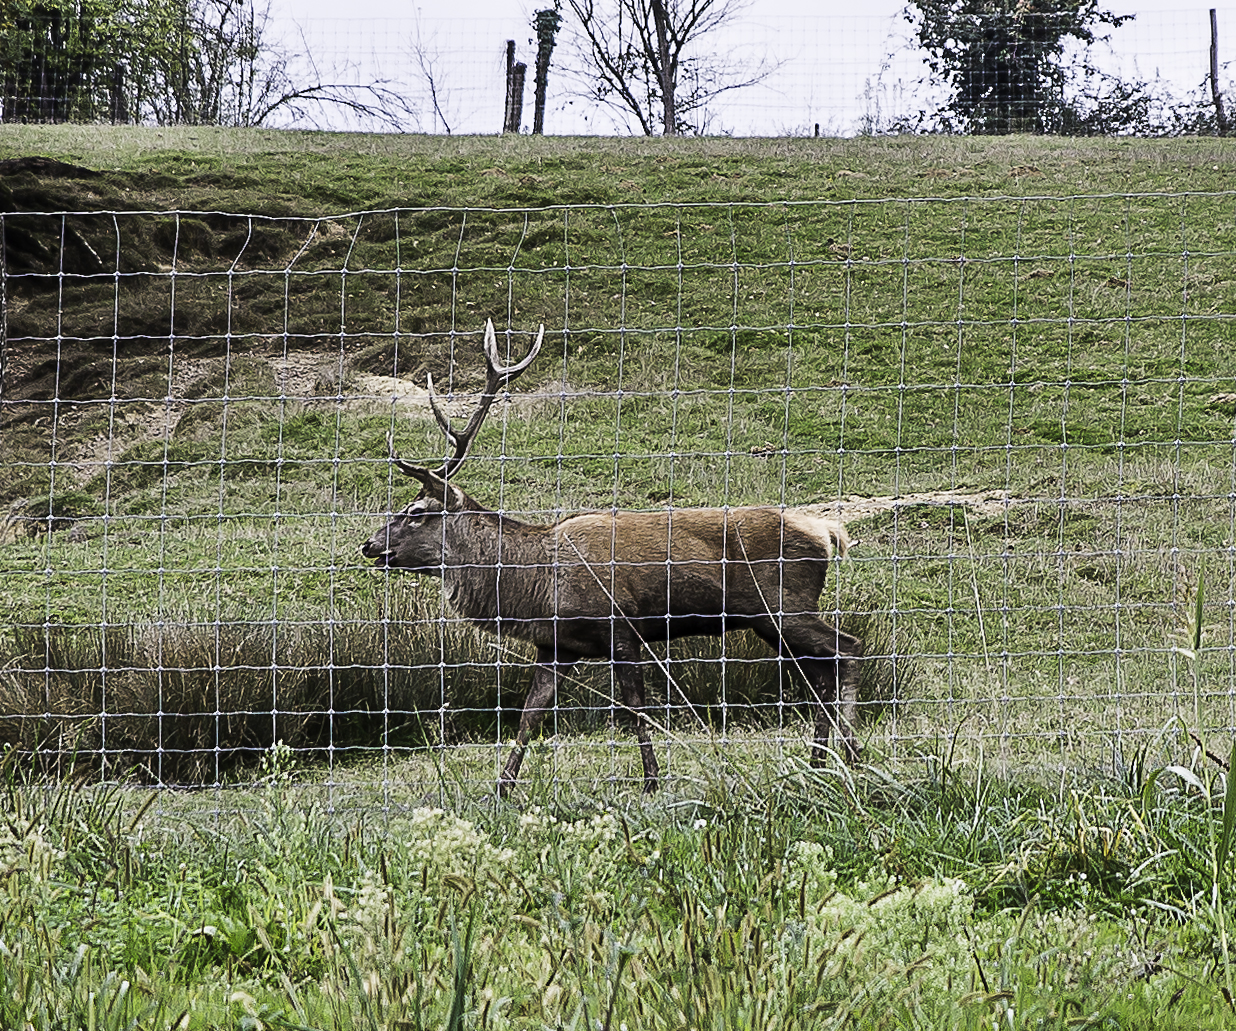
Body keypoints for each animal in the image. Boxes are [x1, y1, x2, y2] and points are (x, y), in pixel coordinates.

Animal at [361, 319, 863, 796]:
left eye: (415, 513)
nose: (369, 545)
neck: (537, 587)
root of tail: (828, 532)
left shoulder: (621, 628)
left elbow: (636, 709)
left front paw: (651, 781)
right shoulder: (556, 645)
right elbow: (530, 714)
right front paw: (501, 789)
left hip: (784, 602)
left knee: (848, 649)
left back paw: (853, 757)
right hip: (769, 619)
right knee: (820, 673)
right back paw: (819, 763)